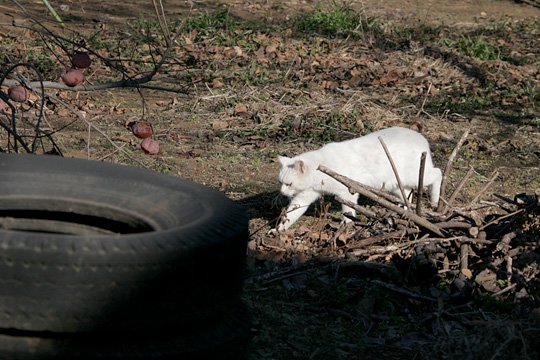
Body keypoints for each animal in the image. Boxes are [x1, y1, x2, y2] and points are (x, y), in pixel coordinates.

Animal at [276, 128, 440, 232]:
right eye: (280, 183)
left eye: (288, 184)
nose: (282, 193)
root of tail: (422, 138)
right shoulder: (306, 195)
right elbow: (291, 213)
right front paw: (278, 229)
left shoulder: (348, 191)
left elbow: (348, 210)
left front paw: (347, 225)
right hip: (396, 185)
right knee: (407, 195)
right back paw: (405, 212)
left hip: (416, 175)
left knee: (438, 173)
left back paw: (434, 201)